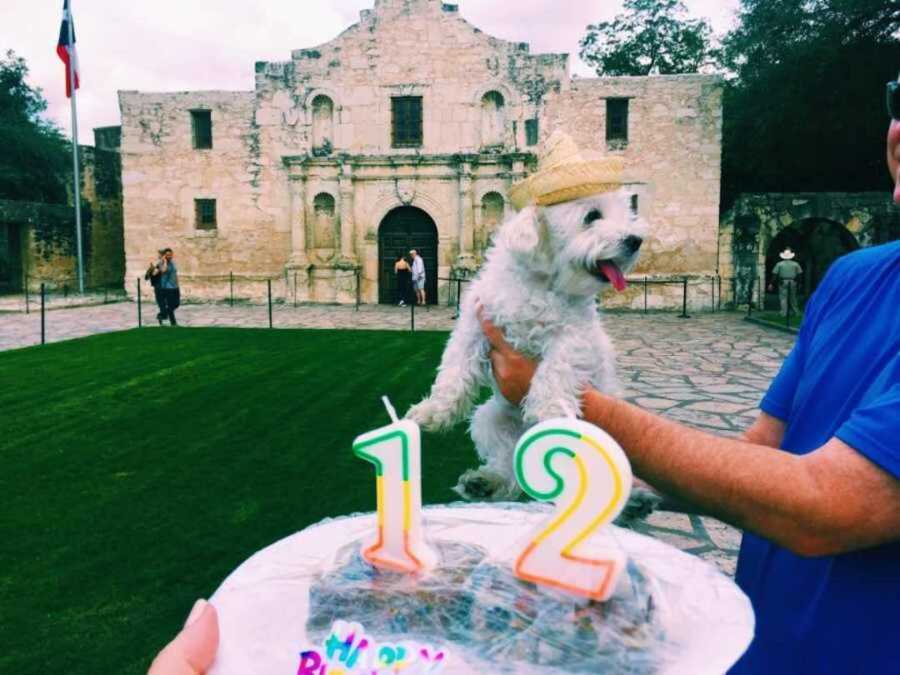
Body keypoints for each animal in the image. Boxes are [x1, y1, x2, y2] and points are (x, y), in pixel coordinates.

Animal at [408, 190, 648, 502]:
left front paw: (549, 414)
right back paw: (486, 482)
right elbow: (454, 371)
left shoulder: (573, 336)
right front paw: (432, 411)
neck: (540, 281)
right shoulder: (474, 324)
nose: (635, 240)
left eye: (629, 210)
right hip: (489, 419)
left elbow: (553, 373)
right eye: (592, 215)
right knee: (510, 465)